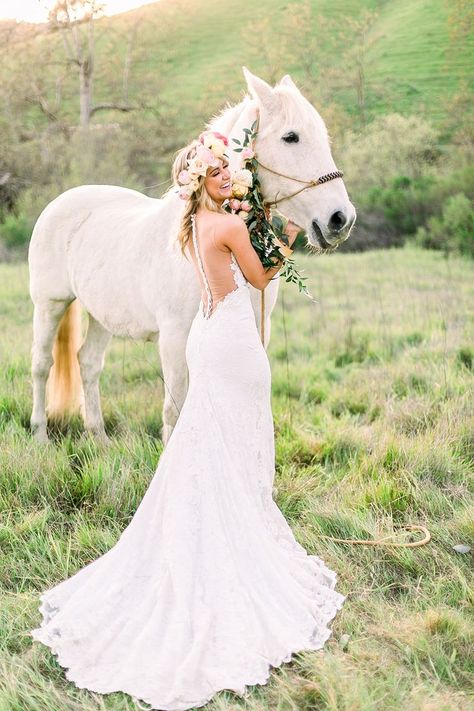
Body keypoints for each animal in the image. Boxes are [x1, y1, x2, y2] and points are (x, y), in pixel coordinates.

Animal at [28, 67, 356, 444]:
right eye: (291, 137)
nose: (341, 219)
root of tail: (62, 200)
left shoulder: (257, 331)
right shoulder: (173, 338)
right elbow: (177, 407)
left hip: (101, 315)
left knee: (89, 363)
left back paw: (99, 438)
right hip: (50, 304)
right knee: (42, 364)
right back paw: (39, 436)